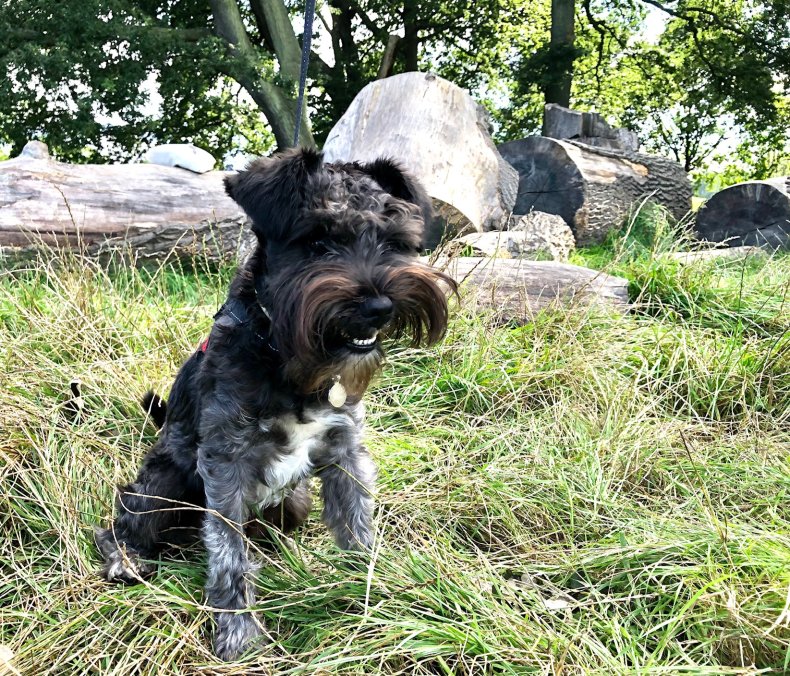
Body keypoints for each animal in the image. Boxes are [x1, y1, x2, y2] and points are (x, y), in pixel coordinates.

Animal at [97, 147, 458, 660]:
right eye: (317, 240)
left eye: (396, 241)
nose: (380, 307)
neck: (290, 355)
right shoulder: (225, 463)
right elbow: (228, 550)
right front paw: (238, 630)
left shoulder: (345, 450)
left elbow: (357, 523)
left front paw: (372, 592)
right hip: (164, 483)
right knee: (124, 519)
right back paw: (125, 559)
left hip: (294, 500)